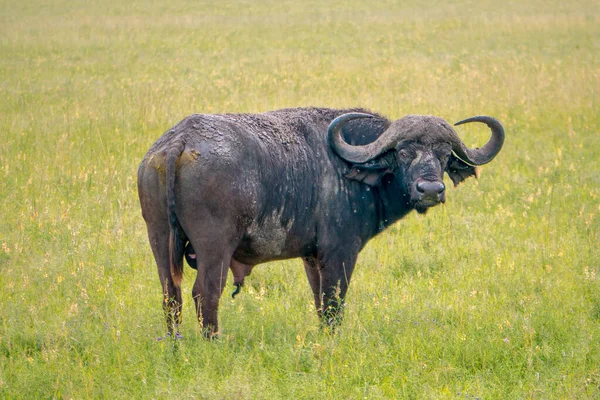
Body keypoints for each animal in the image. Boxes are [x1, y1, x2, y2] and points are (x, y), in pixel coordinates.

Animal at [135, 107, 502, 338]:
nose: (430, 190)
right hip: (215, 248)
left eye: (444, 154)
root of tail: (180, 140)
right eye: (403, 152)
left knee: (171, 294)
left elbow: (319, 301)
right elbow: (333, 301)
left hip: (160, 239)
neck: (352, 166)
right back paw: (213, 341)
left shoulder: (312, 257)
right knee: (205, 292)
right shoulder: (340, 252)